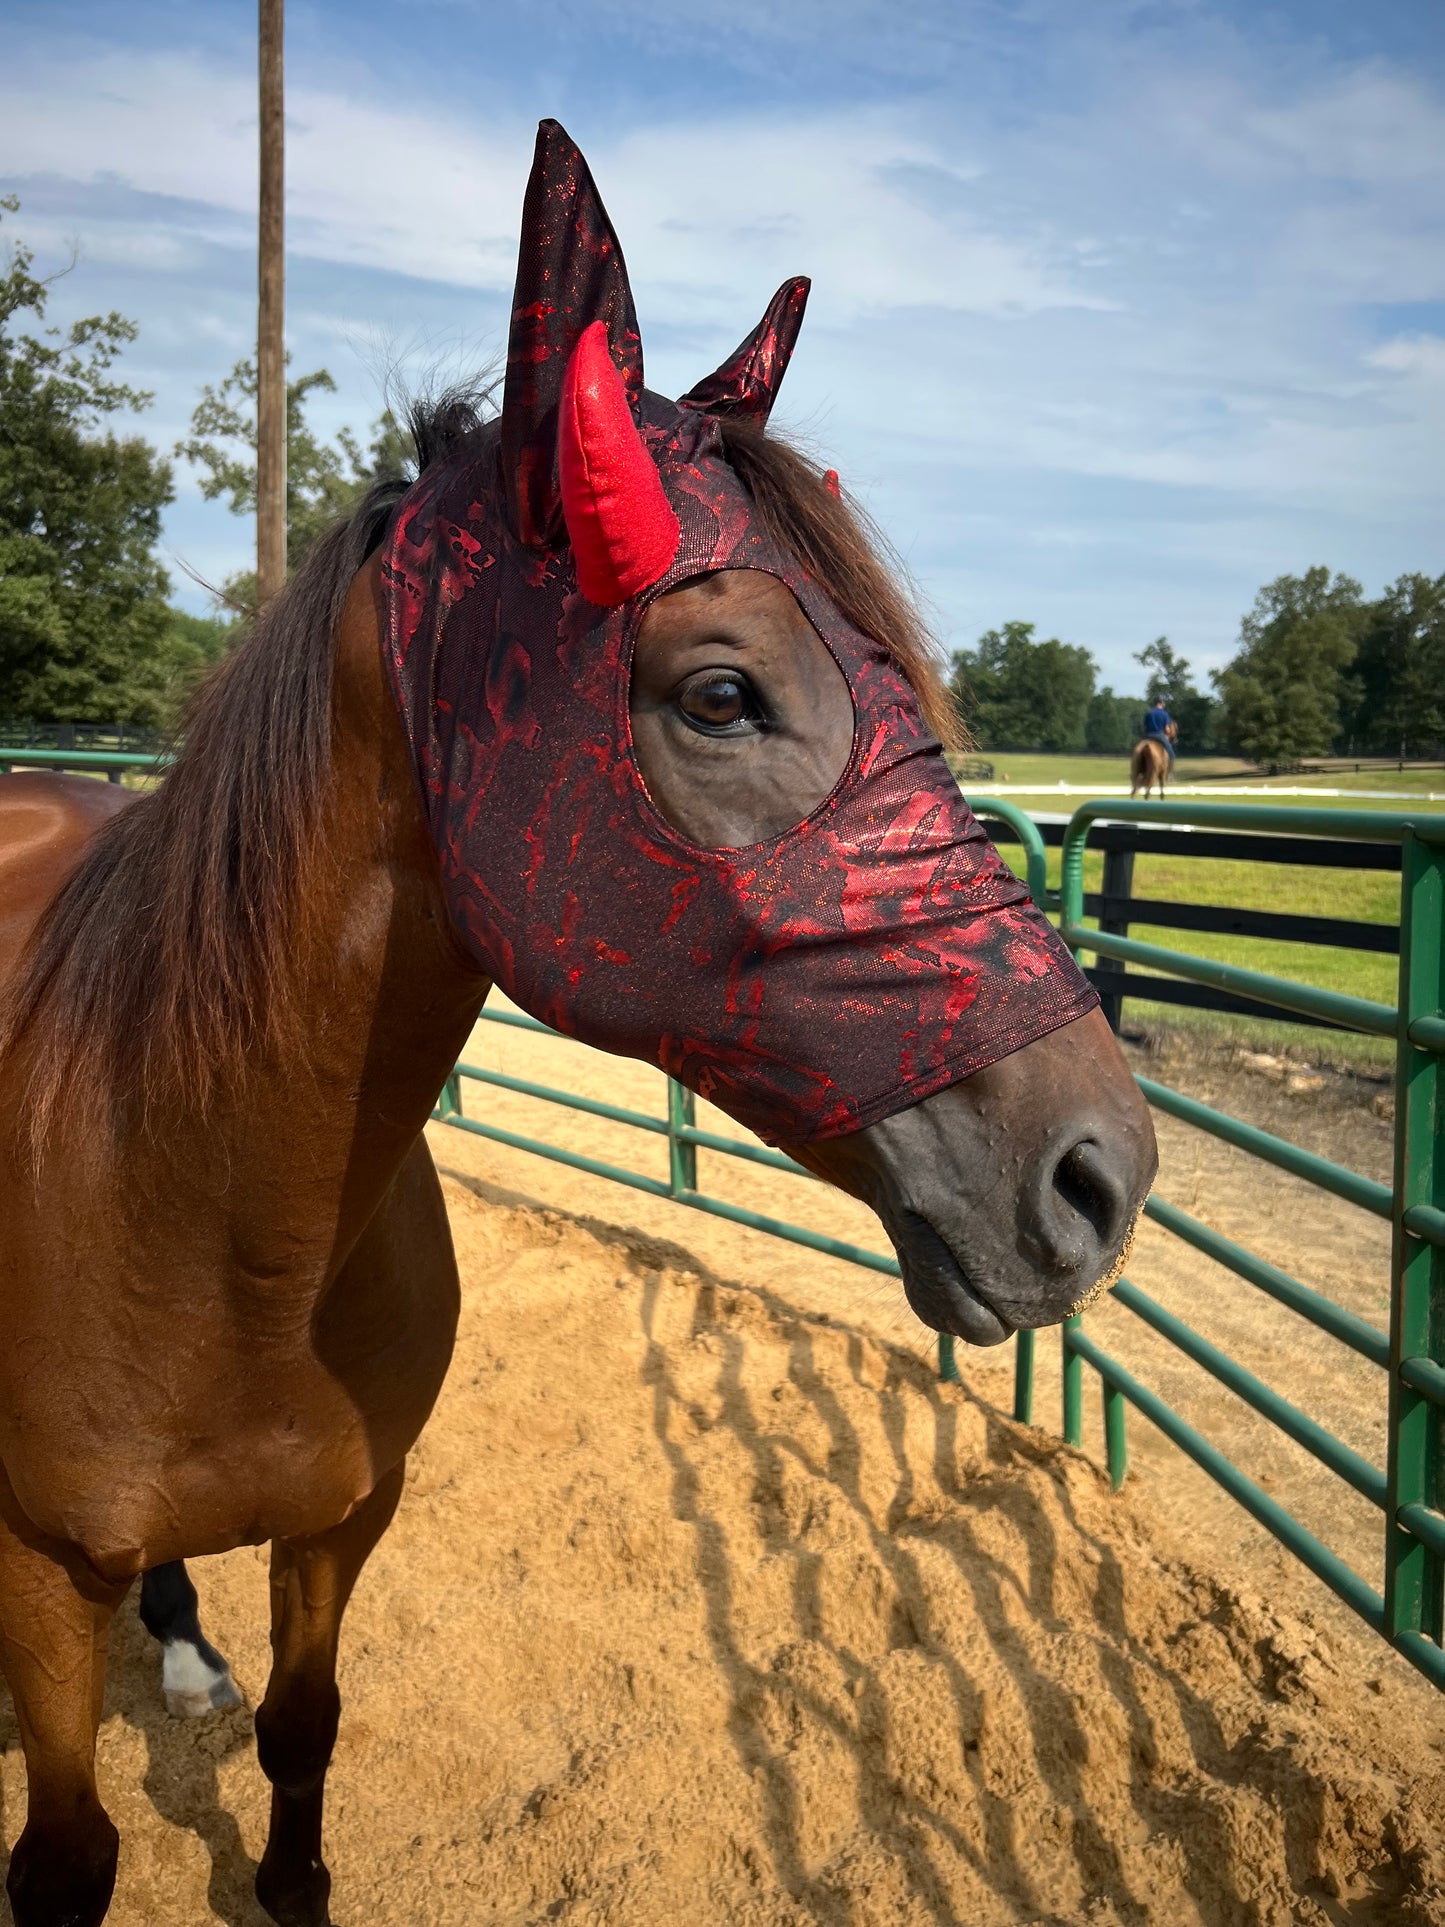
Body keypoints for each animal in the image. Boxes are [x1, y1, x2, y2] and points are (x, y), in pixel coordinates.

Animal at [0, 122, 1155, 1927]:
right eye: (721, 692)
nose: (1102, 1174)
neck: (192, 1221)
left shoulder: (344, 1527)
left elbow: (304, 1736)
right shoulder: (37, 1580)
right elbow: (65, 1855)